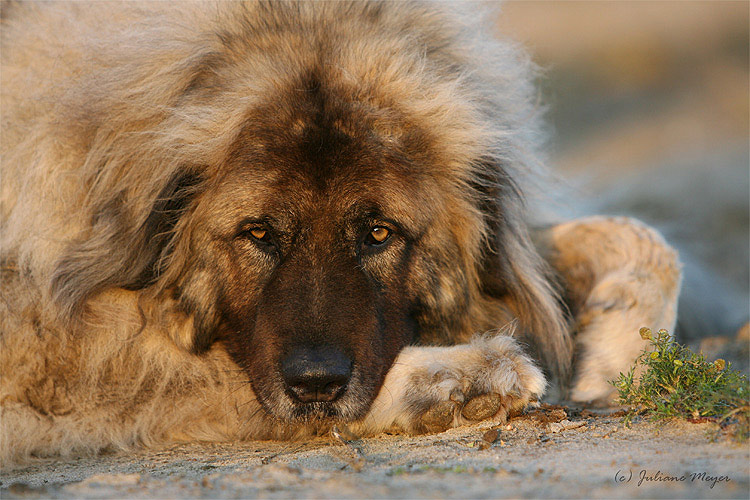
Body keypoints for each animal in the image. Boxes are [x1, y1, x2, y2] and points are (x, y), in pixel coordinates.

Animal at [0, 1, 680, 466]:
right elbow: (188, 372)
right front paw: (465, 376)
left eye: (378, 234)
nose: (316, 384)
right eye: (258, 233)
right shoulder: (47, 348)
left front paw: (606, 355)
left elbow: (647, 245)